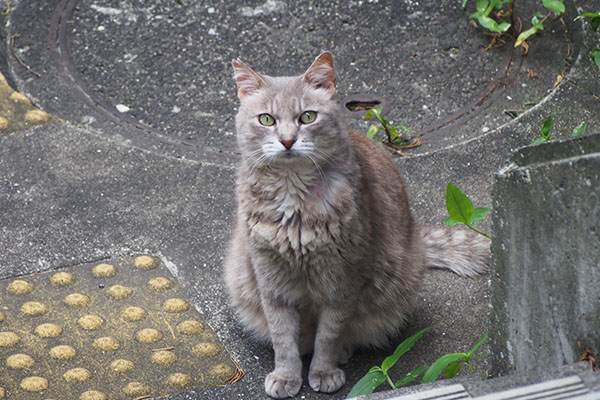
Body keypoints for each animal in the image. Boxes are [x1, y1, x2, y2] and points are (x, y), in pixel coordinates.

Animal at [224, 52, 488, 396]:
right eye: (266, 119)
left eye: (307, 117)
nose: (287, 141)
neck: (295, 204)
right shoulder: (270, 278)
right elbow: (283, 337)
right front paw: (286, 375)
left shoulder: (343, 279)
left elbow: (329, 334)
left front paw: (323, 370)